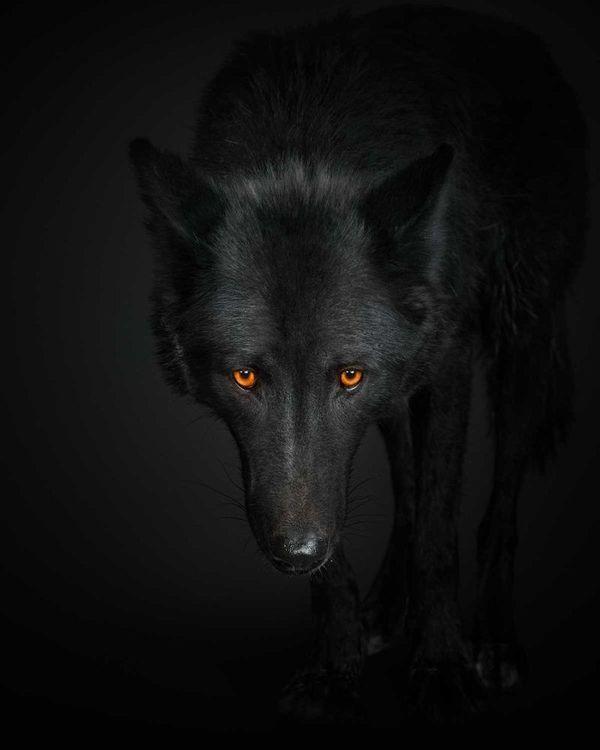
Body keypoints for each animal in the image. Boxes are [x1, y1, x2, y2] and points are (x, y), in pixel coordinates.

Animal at [130, 4, 588, 723]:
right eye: (244, 376)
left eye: (347, 374)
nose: (295, 551)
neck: (307, 134)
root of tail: (523, 39)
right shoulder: (311, 465)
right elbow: (352, 531)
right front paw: (335, 668)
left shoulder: (448, 364)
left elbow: (438, 528)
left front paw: (441, 667)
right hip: (402, 390)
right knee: (404, 486)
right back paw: (388, 609)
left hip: (521, 337)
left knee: (498, 500)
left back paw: (494, 639)